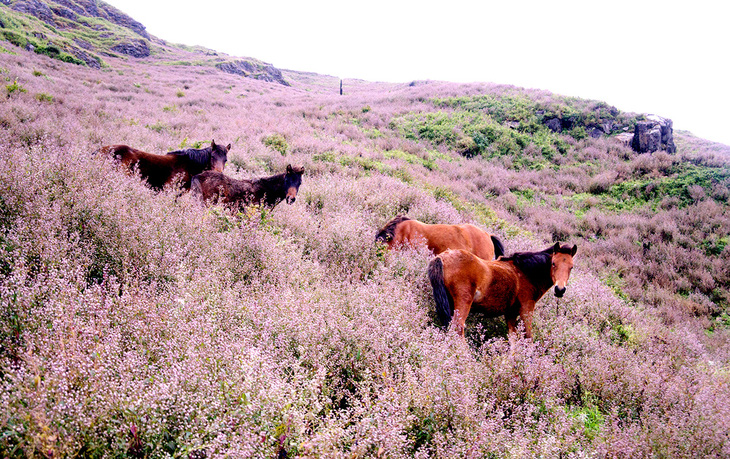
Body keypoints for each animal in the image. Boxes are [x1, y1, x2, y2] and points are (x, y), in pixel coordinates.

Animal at [426, 244, 576, 342]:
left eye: (571, 267)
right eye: (553, 263)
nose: (560, 290)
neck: (524, 273)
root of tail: (441, 258)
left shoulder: (510, 314)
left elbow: (513, 341)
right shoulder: (526, 310)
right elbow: (528, 338)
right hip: (463, 302)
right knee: (458, 328)